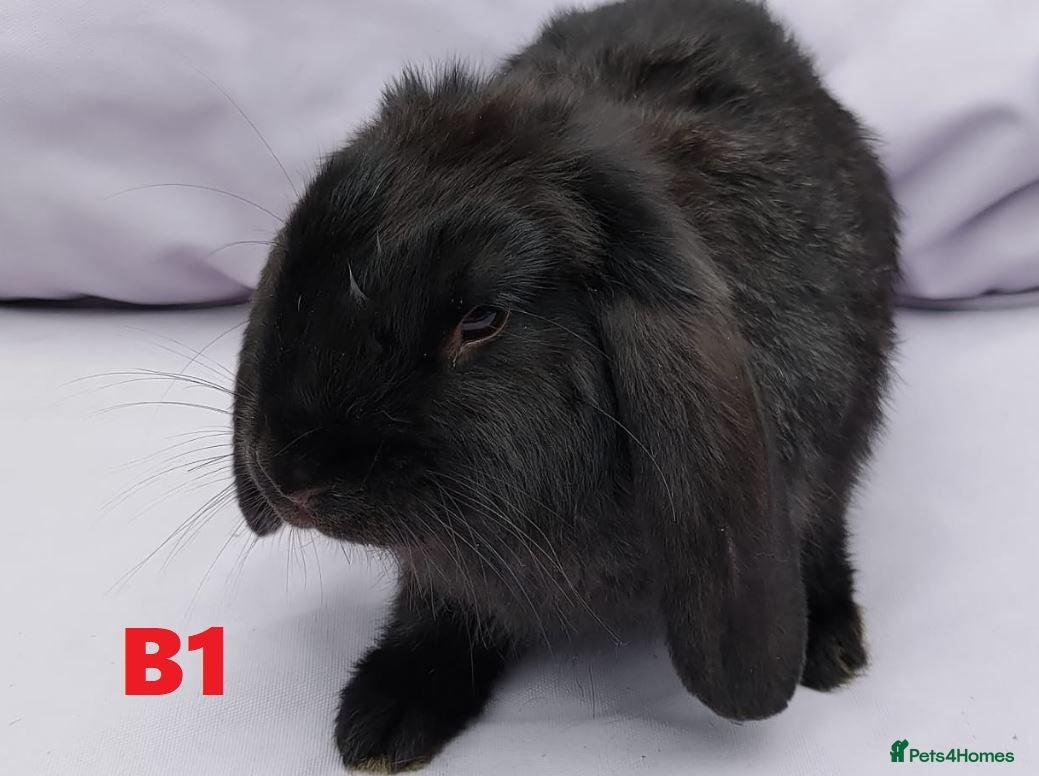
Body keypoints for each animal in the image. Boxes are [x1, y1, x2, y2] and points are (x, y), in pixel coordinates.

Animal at [231, 0, 899, 770]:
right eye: (301, 272)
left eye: (481, 320)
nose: (288, 479)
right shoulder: (447, 571)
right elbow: (439, 607)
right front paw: (382, 719)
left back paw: (830, 646)